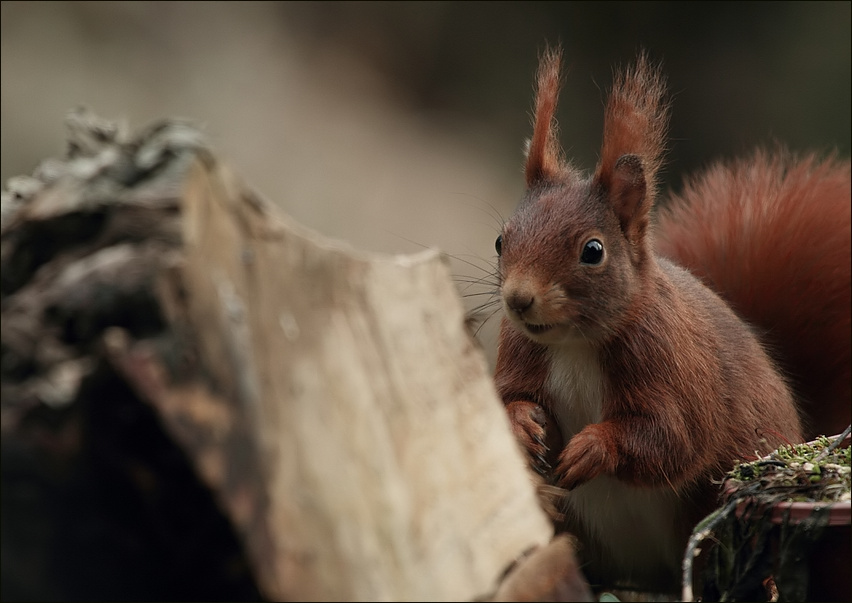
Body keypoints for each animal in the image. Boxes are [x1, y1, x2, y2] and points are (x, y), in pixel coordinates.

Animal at [492, 48, 852, 596]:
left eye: (592, 251)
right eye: (500, 240)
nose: (518, 299)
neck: (574, 345)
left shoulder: (672, 363)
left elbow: (670, 435)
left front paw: (592, 448)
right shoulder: (518, 350)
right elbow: (500, 402)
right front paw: (522, 424)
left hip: (708, 507)